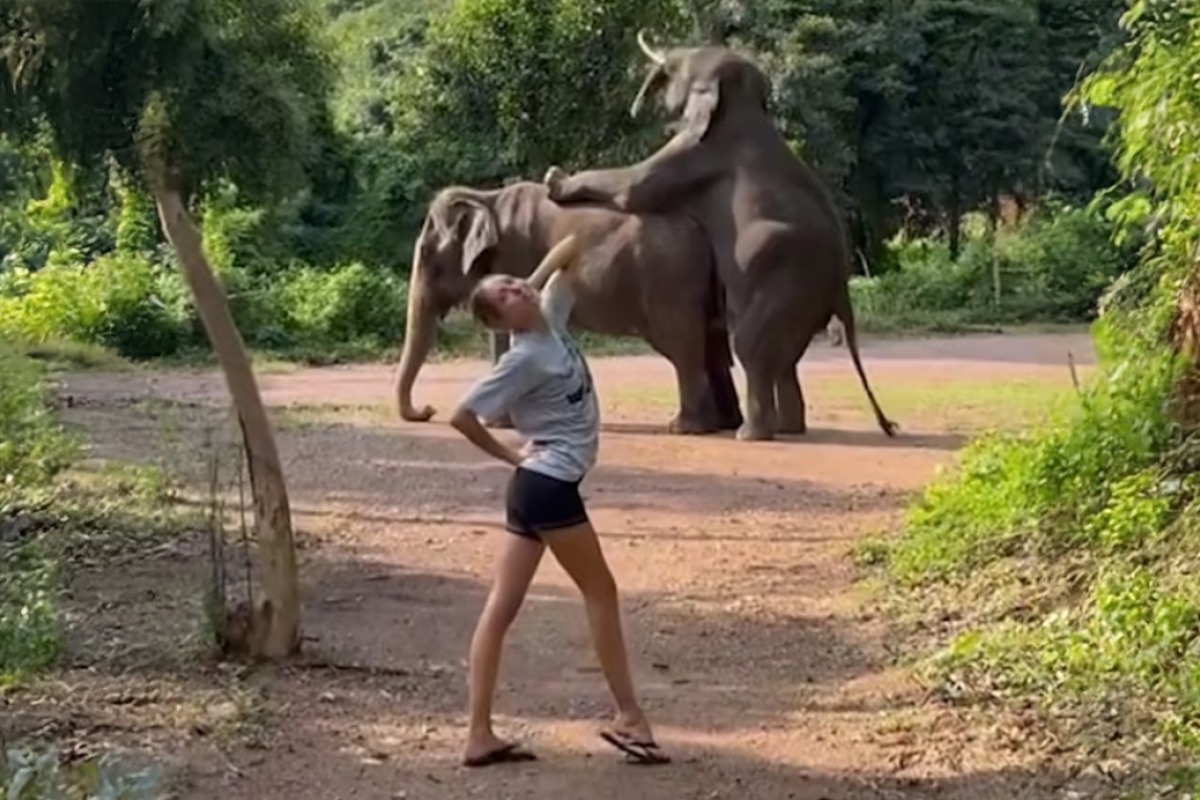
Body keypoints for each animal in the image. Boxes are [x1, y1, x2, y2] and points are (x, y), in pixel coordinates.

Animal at [393, 179, 744, 438]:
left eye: (427, 253)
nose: (428, 411)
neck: (486, 198)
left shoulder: (516, 256)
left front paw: (498, 425)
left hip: (671, 284)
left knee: (683, 346)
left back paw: (685, 428)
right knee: (711, 346)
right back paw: (724, 424)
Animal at [542, 31, 892, 441]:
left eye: (682, 66)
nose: (638, 107)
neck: (745, 105)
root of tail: (841, 285)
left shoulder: (697, 152)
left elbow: (635, 188)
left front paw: (554, 180)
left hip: (788, 283)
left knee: (751, 346)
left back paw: (752, 434)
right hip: (804, 299)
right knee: (786, 358)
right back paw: (788, 429)